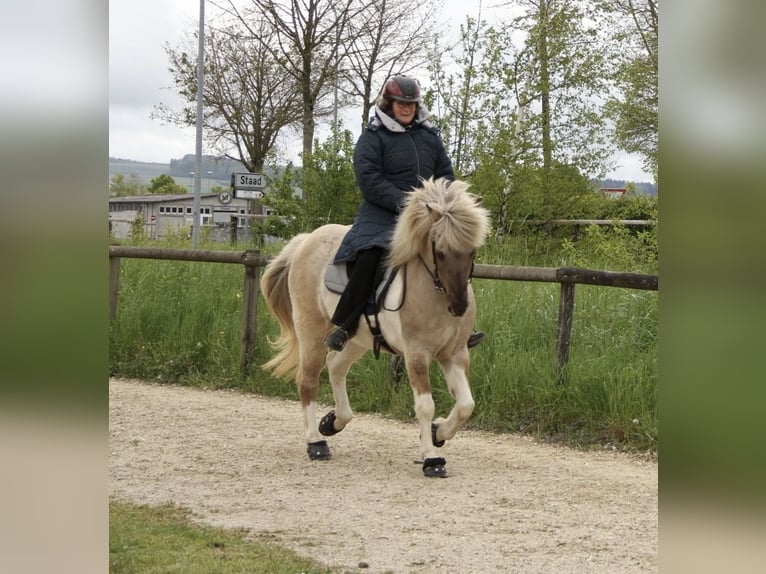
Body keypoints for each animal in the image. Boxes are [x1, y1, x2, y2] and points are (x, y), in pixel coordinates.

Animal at [260, 178, 492, 480]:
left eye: (472, 251)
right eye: (440, 252)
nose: (459, 307)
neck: (434, 291)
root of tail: (305, 240)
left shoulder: (455, 353)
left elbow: (466, 405)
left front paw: (437, 432)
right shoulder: (417, 354)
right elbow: (425, 406)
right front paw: (431, 458)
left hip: (356, 339)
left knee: (336, 366)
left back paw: (333, 422)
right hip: (310, 331)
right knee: (307, 381)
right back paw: (316, 442)